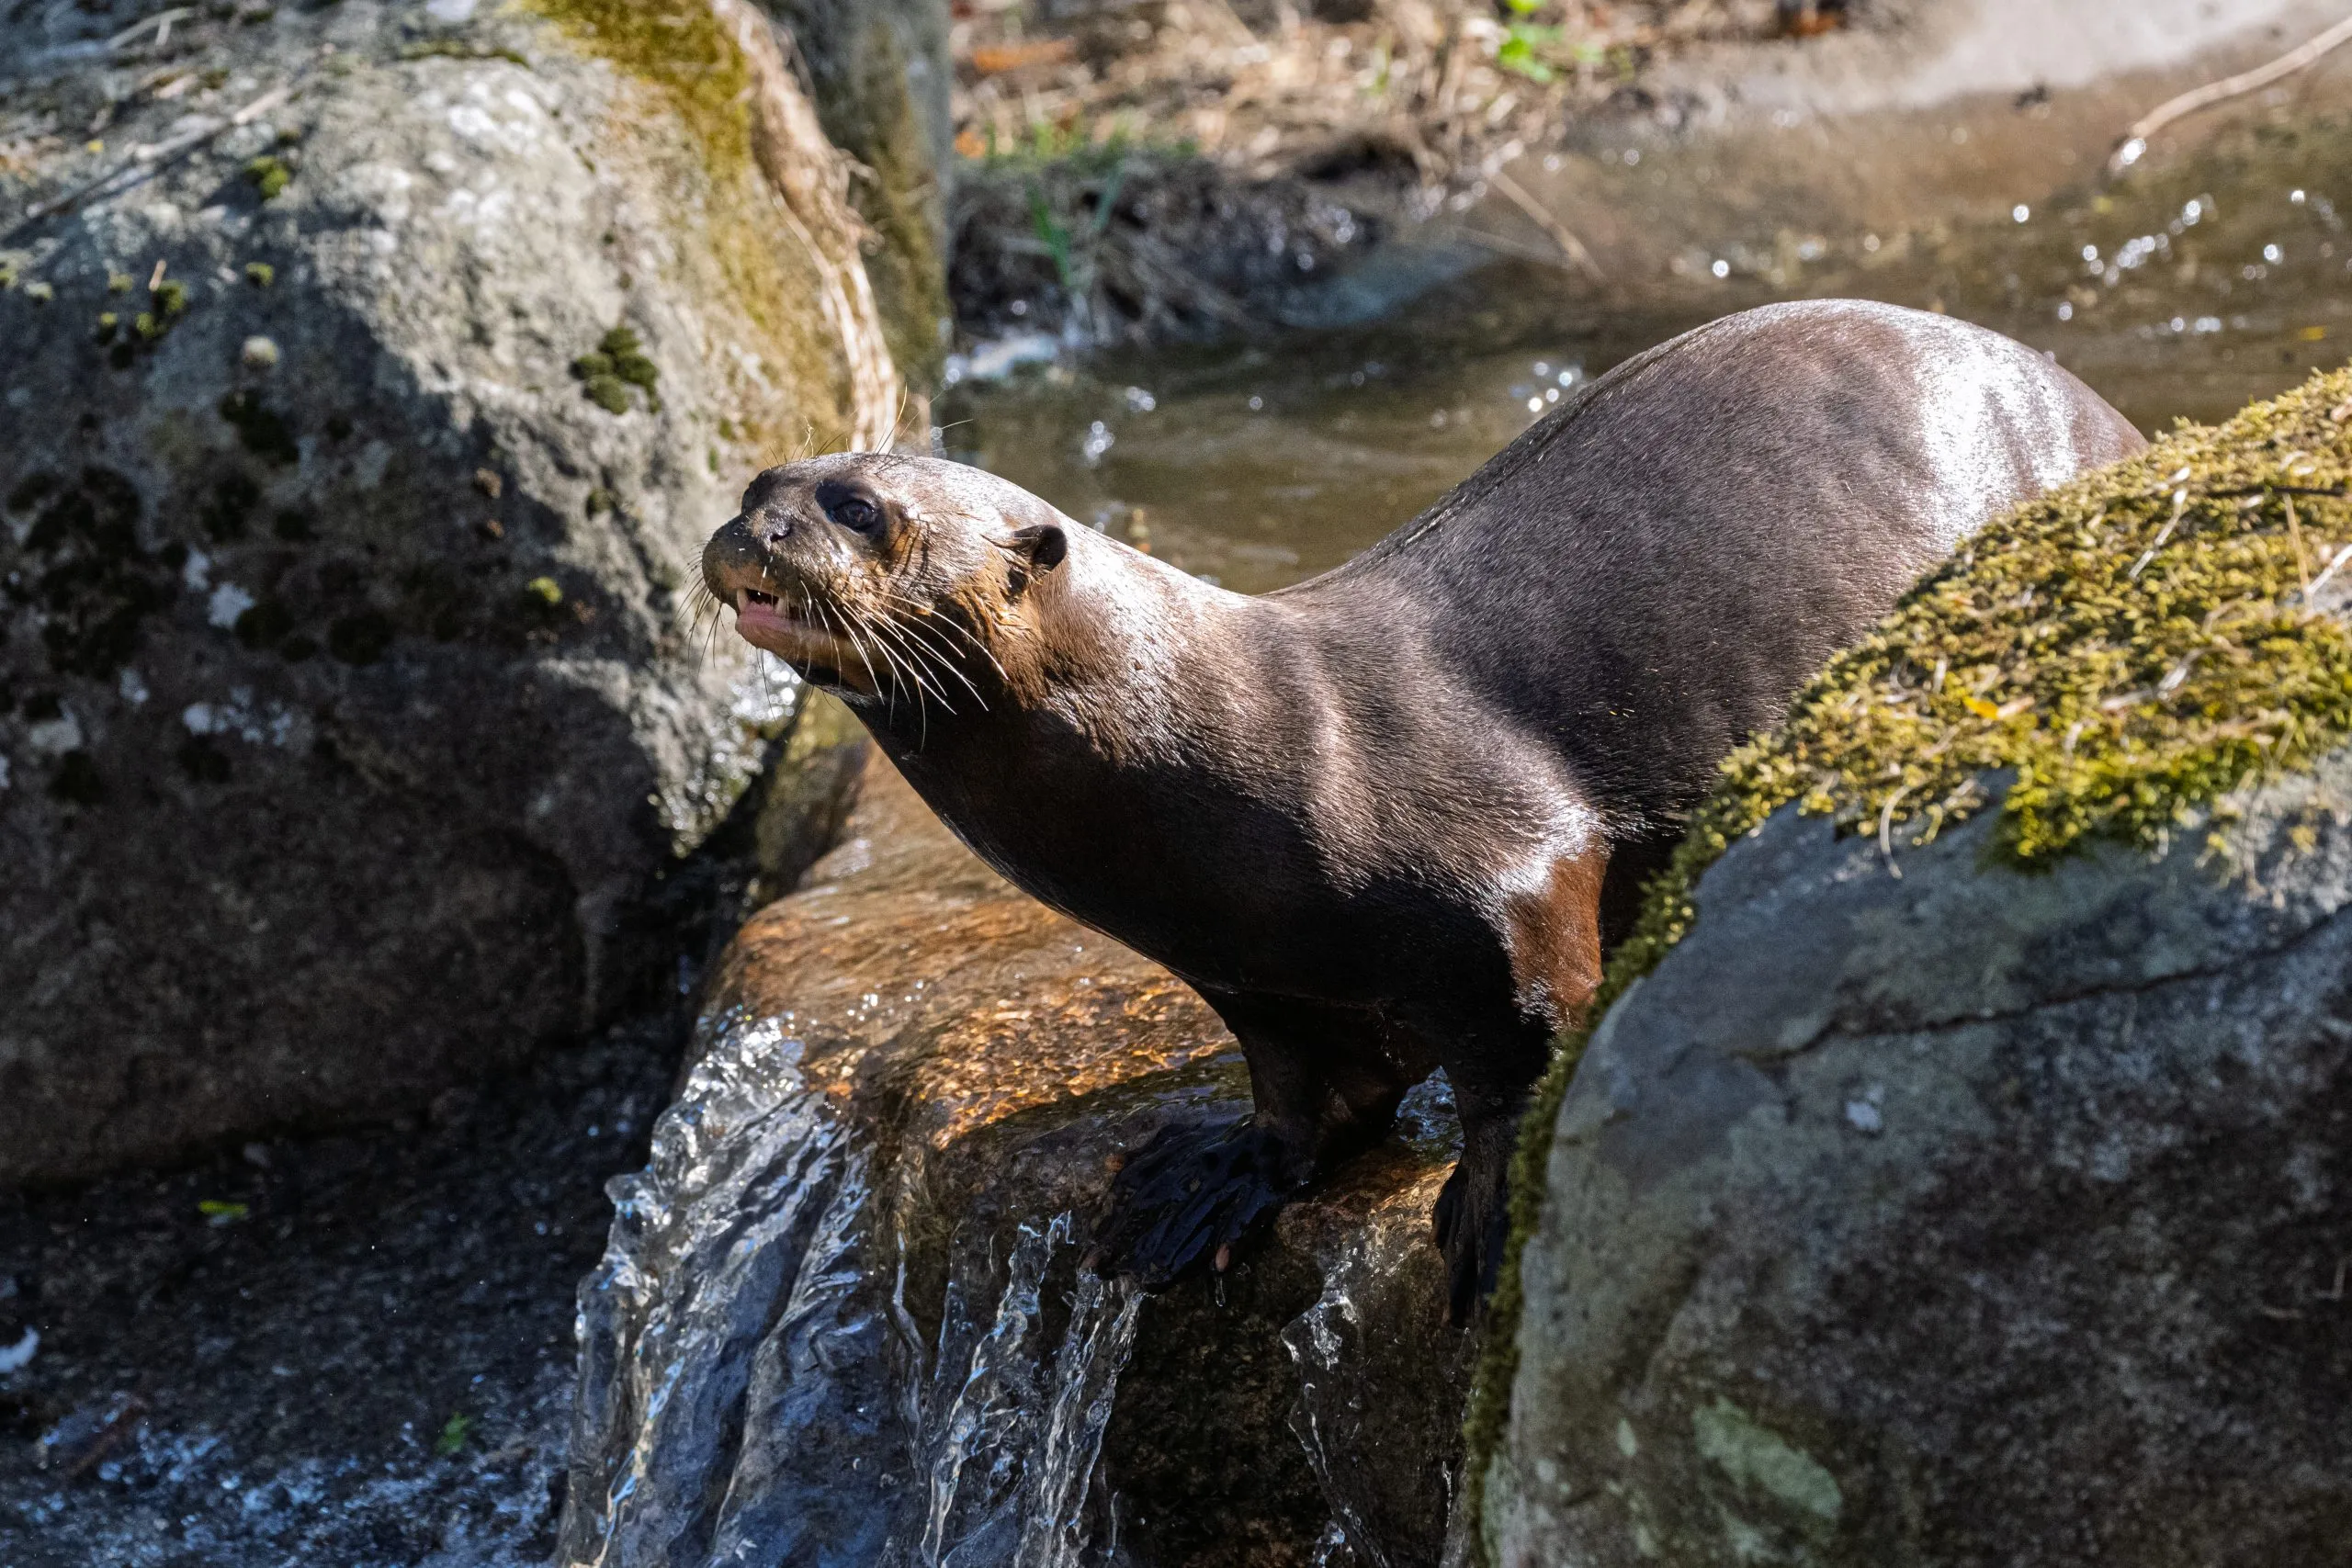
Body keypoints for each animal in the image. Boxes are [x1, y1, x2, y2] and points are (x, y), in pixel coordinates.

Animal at [704, 300, 2146, 1318]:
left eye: (857, 506)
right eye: (759, 480)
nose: (753, 530)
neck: (1238, 744)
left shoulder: (1503, 871)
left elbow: (1531, 1033)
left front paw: (1499, 1210)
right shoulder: (1258, 978)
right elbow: (1309, 1094)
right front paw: (1210, 1180)